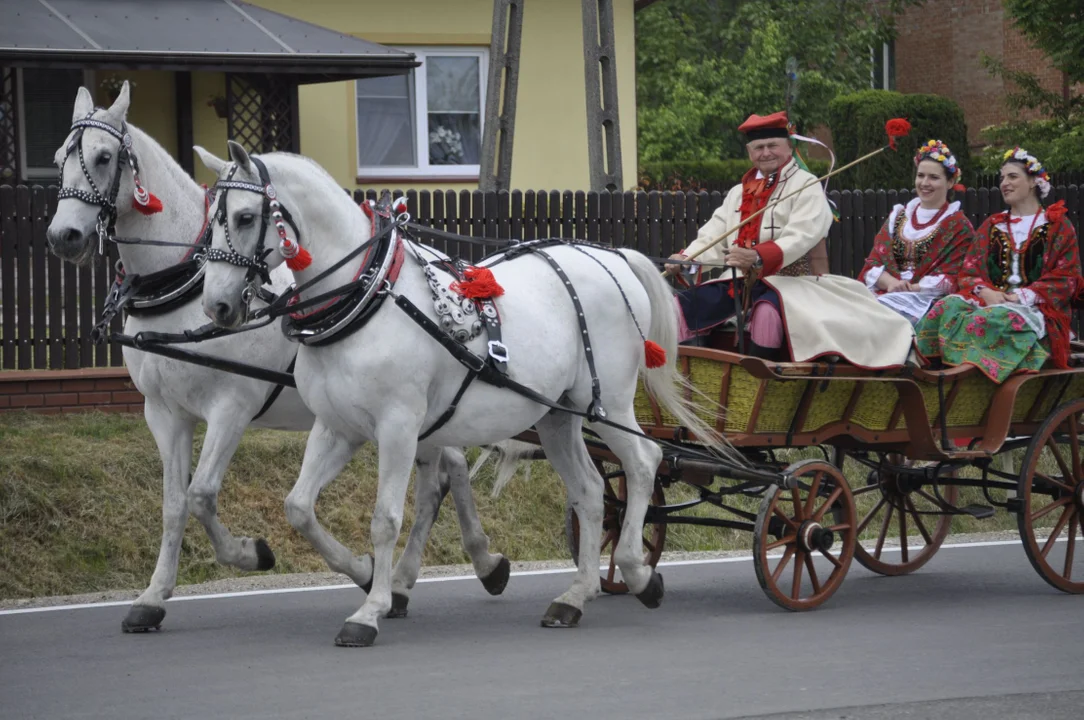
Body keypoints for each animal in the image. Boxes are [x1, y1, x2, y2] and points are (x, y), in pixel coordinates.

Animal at [44, 82, 509, 628]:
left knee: (441, 475)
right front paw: (154, 596)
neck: (183, 282)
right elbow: (174, 504)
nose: (63, 237)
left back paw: (443, 570)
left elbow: (201, 495)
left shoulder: (232, 407)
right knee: (449, 466)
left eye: (103, 156)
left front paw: (256, 554)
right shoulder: (164, 413)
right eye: (59, 160)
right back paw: (465, 565)